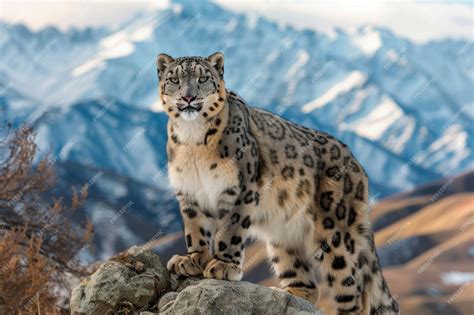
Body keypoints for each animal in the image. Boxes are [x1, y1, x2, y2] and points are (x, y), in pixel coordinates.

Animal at [157, 52, 398, 315]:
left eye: (202, 78)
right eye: (174, 79)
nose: (188, 97)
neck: (192, 138)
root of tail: (357, 164)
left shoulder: (241, 188)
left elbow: (230, 228)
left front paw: (223, 265)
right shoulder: (189, 191)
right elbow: (195, 229)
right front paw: (191, 259)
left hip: (335, 233)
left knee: (353, 287)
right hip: (283, 237)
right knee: (307, 282)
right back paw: (287, 294)